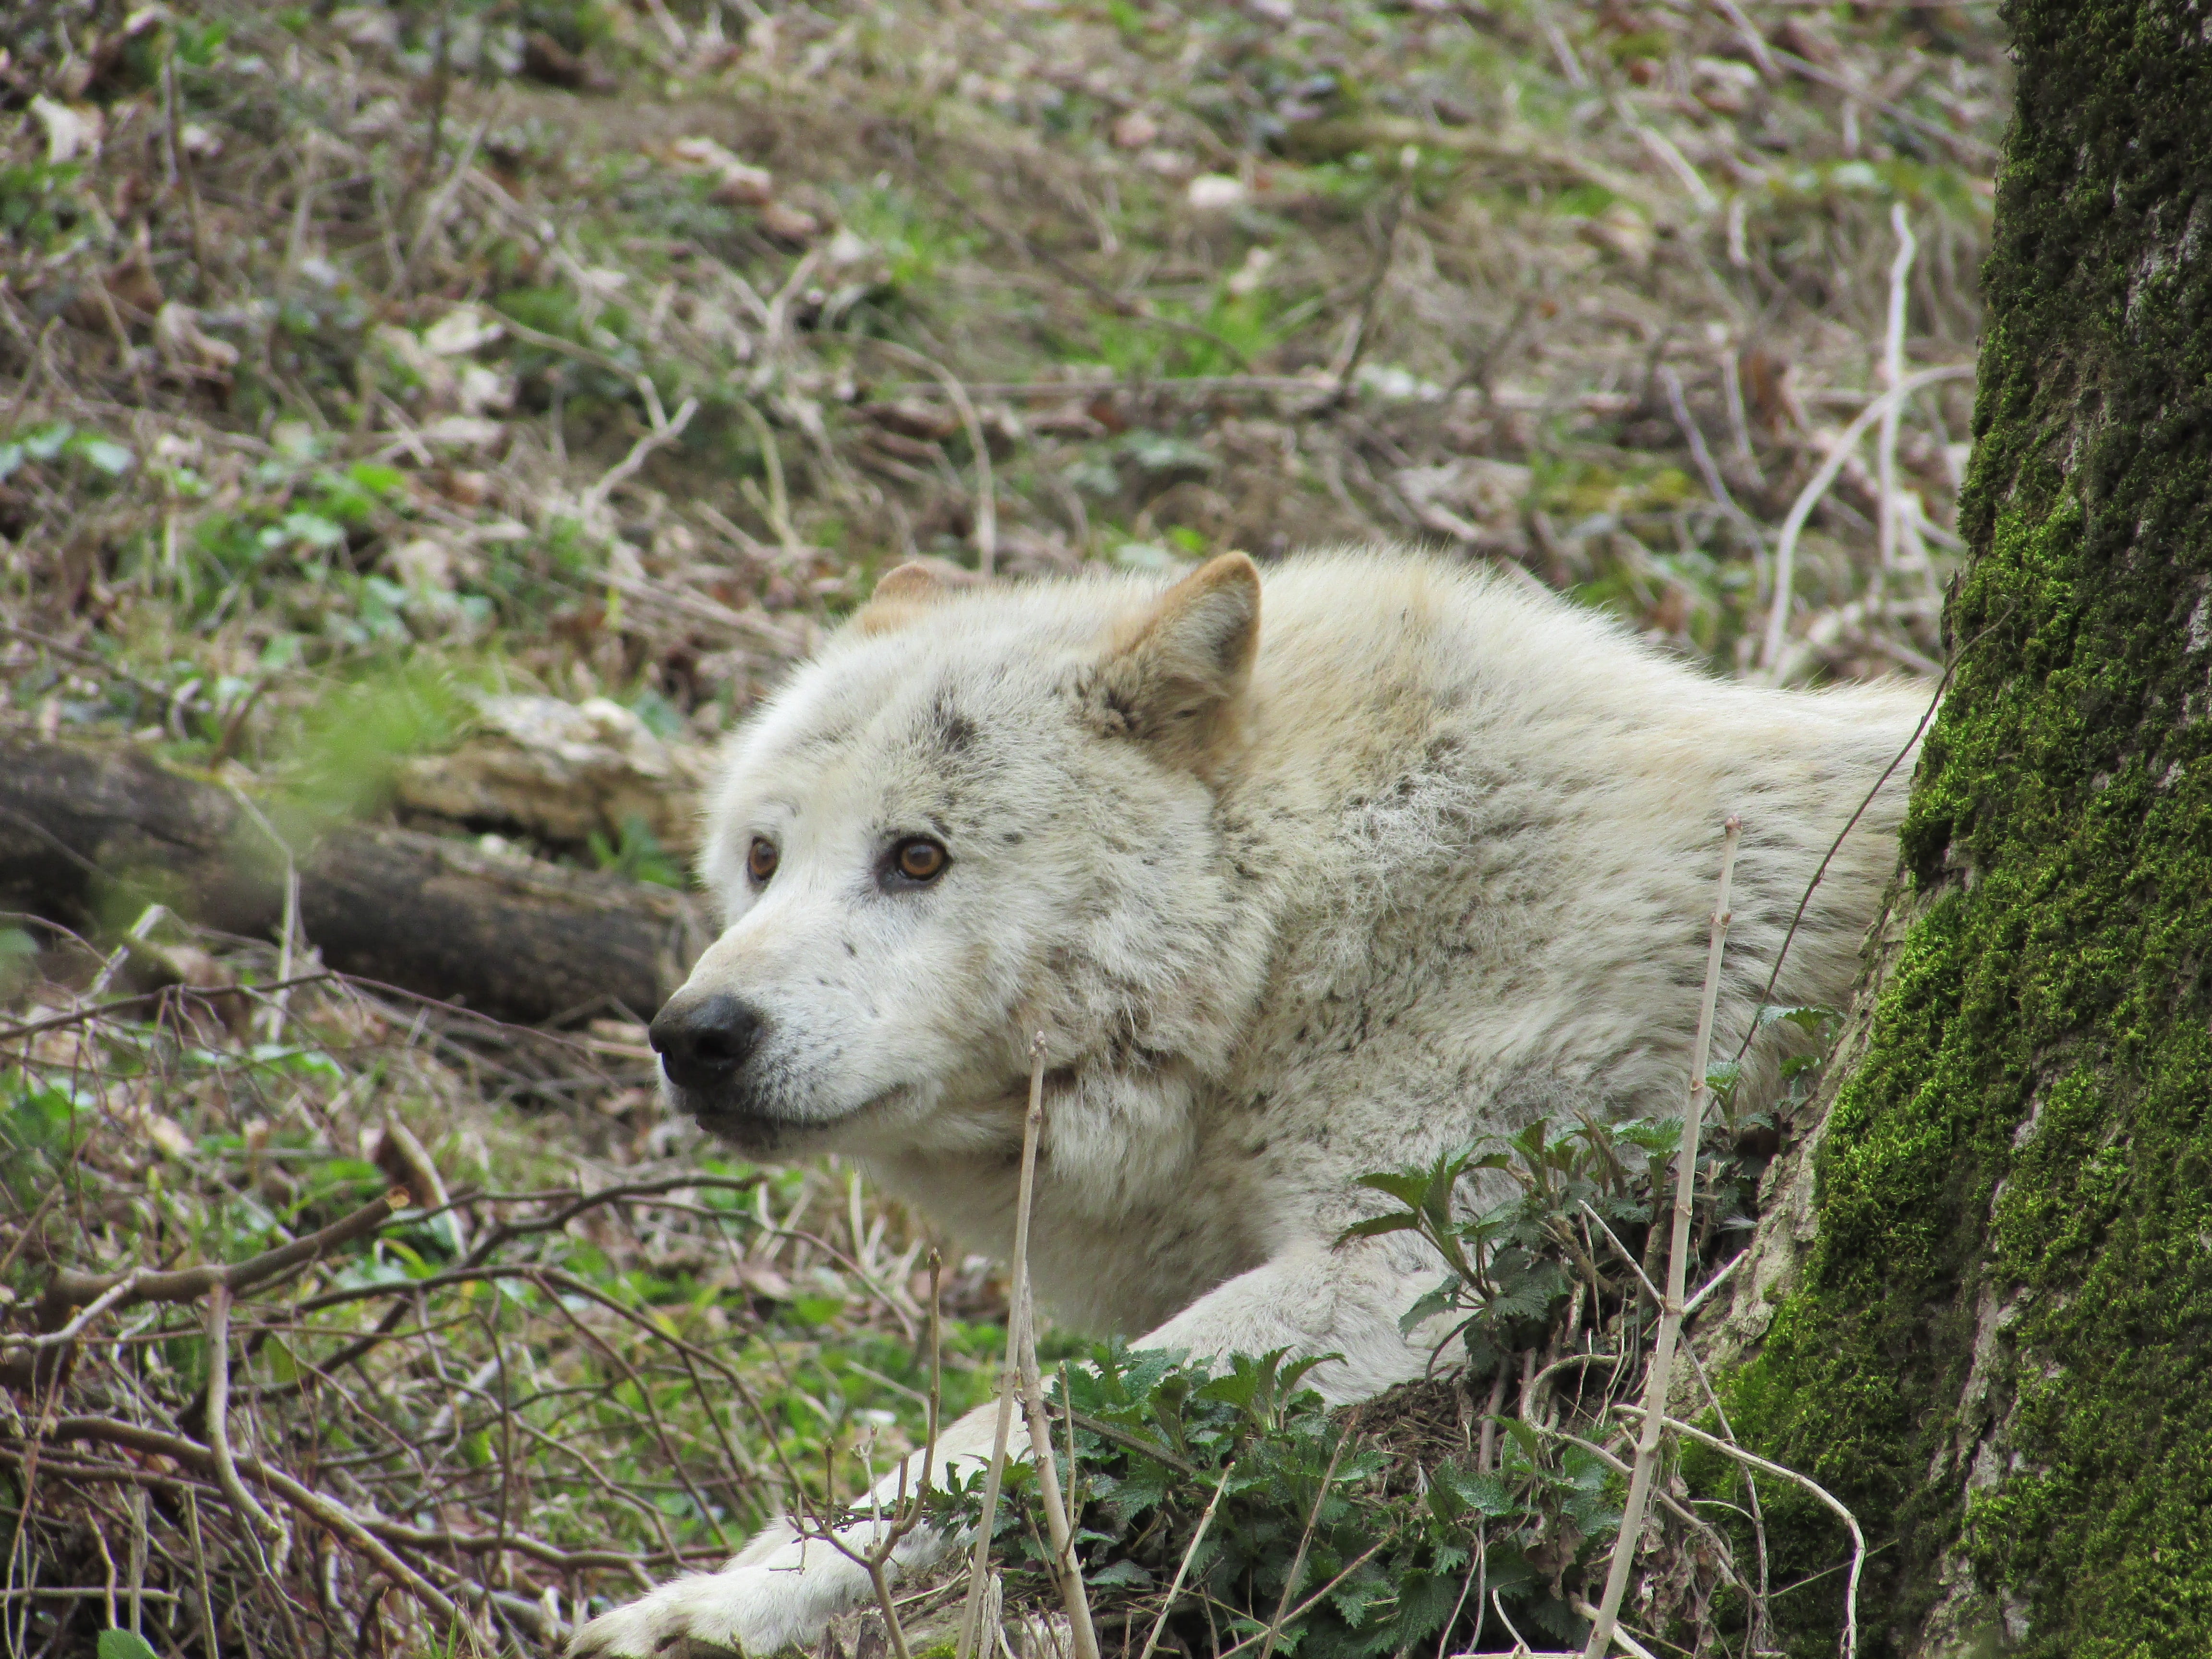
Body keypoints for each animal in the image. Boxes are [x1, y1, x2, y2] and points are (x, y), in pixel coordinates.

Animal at [570, 548, 1925, 1656]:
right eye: (762, 858)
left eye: (917, 857)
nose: (695, 1035)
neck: (1299, 925)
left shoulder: (1405, 1271)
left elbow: (995, 1431)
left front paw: (709, 1606)